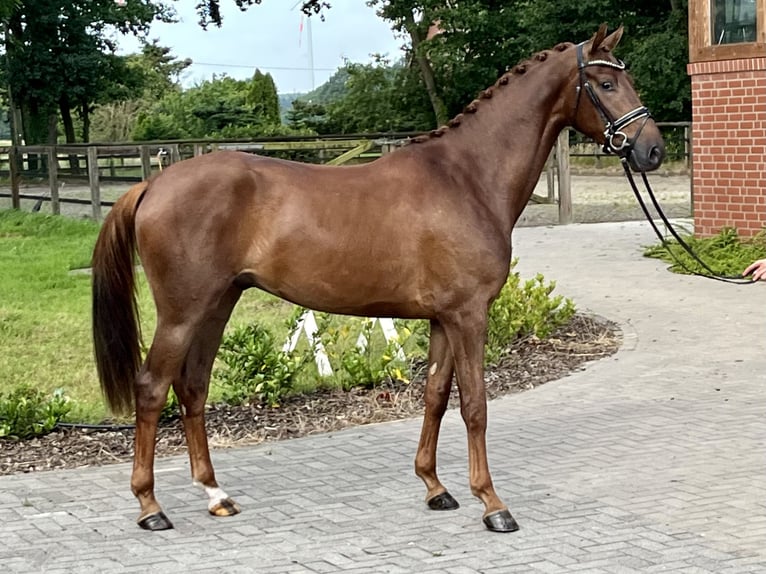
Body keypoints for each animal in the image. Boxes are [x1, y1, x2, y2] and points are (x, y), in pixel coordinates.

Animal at [91, 24, 664, 532]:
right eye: (606, 83)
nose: (652, 149)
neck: (467, 178)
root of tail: (153, 184)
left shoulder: (442, 318)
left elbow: (435, 396)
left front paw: (435, 487)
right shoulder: (469, 315)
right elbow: (475, 405)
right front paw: (492, 504)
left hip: (218, 304)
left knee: (193, 387)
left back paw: (216, 495)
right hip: (182, 311)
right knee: (151, 388)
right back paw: (150, 507)